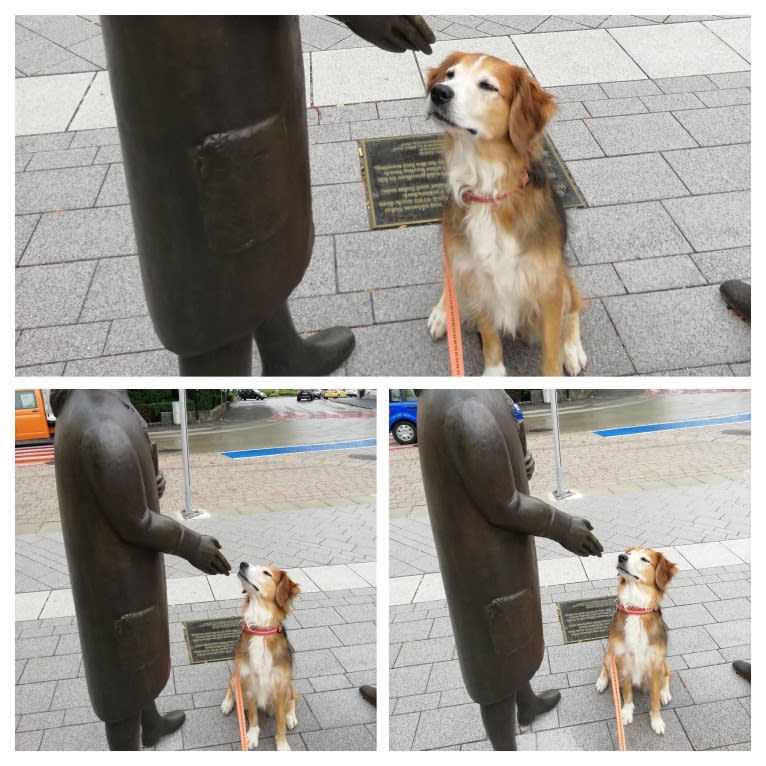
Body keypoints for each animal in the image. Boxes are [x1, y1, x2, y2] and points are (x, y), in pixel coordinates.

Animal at [222, 564, 300, 752]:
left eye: (266, 573)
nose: (243, 564)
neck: (260, 631)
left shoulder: (281, 687)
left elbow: (280, 722)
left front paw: (282, 744)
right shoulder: (247, 681)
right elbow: (253, 715)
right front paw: (251, 735)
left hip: (289, 685)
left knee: (294, 697)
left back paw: (291, 716)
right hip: (236, 677)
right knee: (230, 687)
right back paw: (227, 703)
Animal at [426, 51, 588, 378]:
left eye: (488, 86)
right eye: (449, 75)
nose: (438, 92)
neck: (487, 192)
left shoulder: (548, 285)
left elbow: (551, 353)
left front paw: (559, 361)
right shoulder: (477, 278)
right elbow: (490, 340)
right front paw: (494, 375)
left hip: (562, 278)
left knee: (575, 304)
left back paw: (572, 348)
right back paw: (442, 312)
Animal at [596, 548, 680, 736]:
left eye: (644, 559)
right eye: (628, 553)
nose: (621, 557)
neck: (636, 610)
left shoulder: (655, 664)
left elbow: (654, 699)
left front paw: (656, 720)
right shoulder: (622, 659)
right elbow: (627, 693)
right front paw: (626, 712)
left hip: (663, 661)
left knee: (667, 674)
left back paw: (665, 693)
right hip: (610, 655)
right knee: (604, 665)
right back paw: (602, 681)